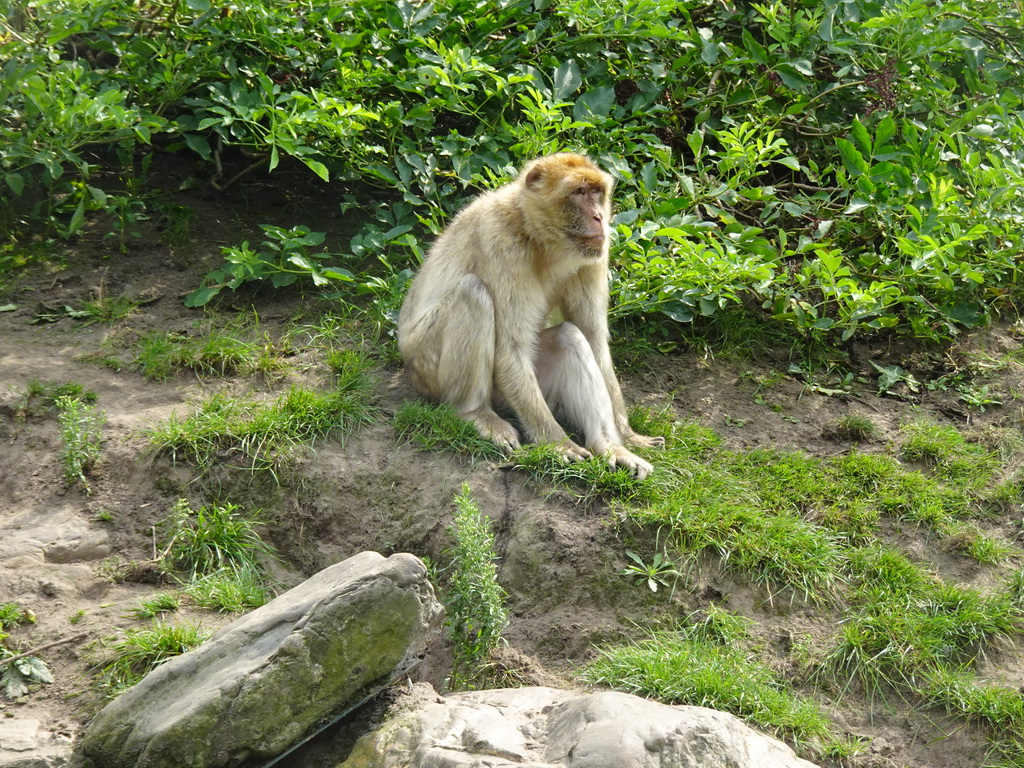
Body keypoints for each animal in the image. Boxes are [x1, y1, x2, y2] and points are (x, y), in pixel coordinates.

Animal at [391, 154, 663, 481]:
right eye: (578, 192)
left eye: (597, 192)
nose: (599, 217)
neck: (536, 234)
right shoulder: (502, 244)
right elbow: (511, 351)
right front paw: (559, 444)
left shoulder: (595, 255)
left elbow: (595, 344)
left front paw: (627, 436)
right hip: (427, 366)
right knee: (473, 292)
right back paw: (475, 412)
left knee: (569, 336)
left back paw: (608, 446)